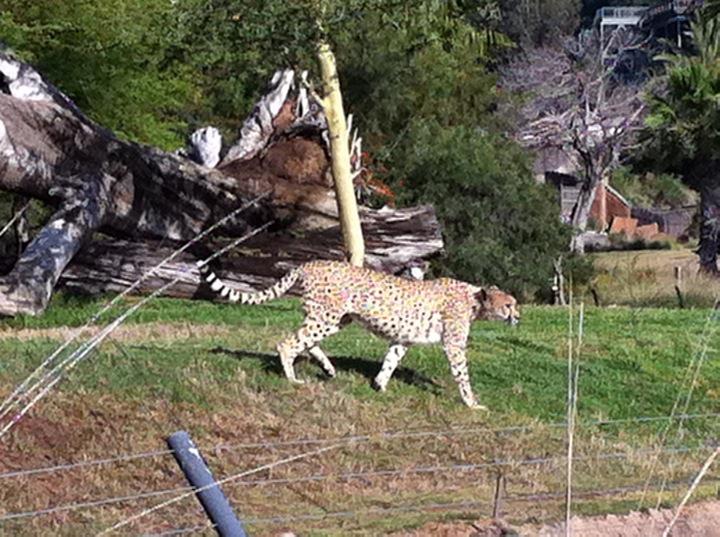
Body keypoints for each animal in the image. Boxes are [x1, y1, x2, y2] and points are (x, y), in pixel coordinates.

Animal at [197, 259, 519, 409]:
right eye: (509, 304)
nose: (518, 317)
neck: (475, 299)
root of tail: (310, 262)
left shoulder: (403, 339)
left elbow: (391, 360)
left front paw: (380, 385)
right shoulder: (453, 345)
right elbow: (462, 374)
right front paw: (473, 404)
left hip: (335, 318)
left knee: (308, 341)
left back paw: (328, 369)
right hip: (327, 316)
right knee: (288, 343)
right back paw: (293, 379)